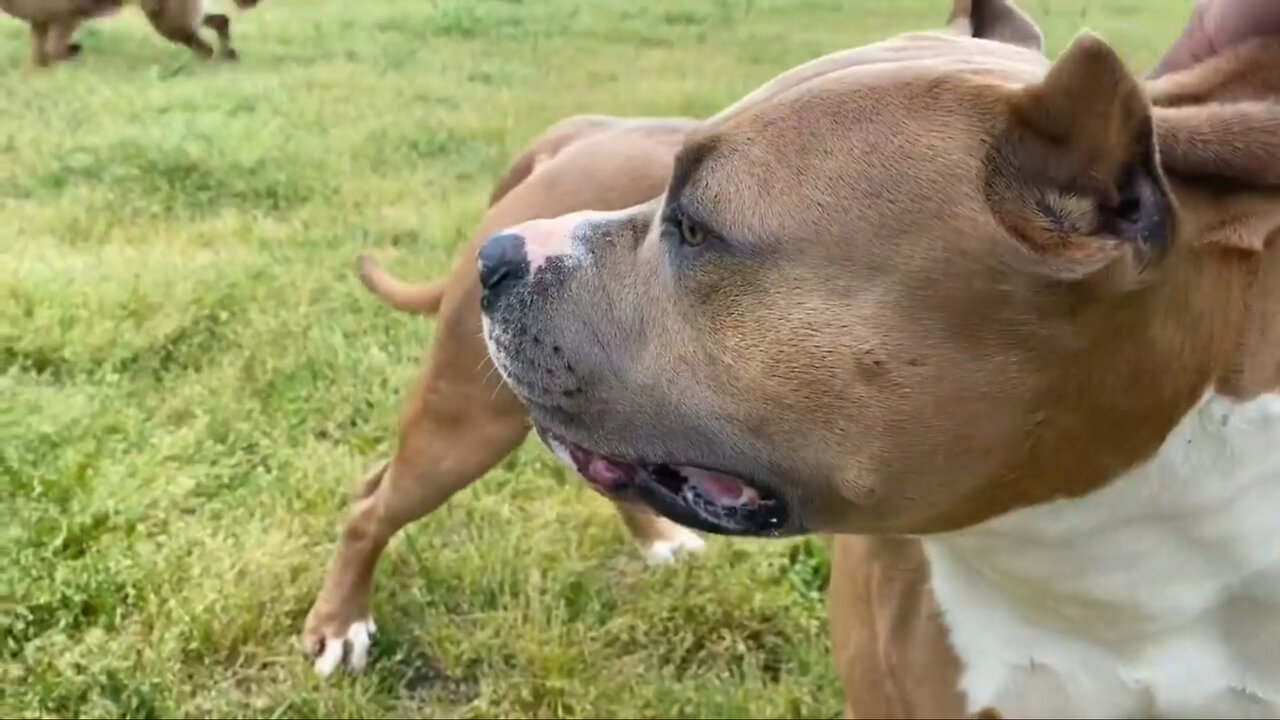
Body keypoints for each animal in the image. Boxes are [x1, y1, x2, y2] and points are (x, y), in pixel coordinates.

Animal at [1, 0, 262, 67]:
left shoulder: (64, 19)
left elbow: (54, 51)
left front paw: (74, 49)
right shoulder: (40, 23)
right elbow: (40, 59)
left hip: (169, 22)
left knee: (205, 48)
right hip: (173, 18)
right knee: (220, 22)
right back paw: (228, 55)